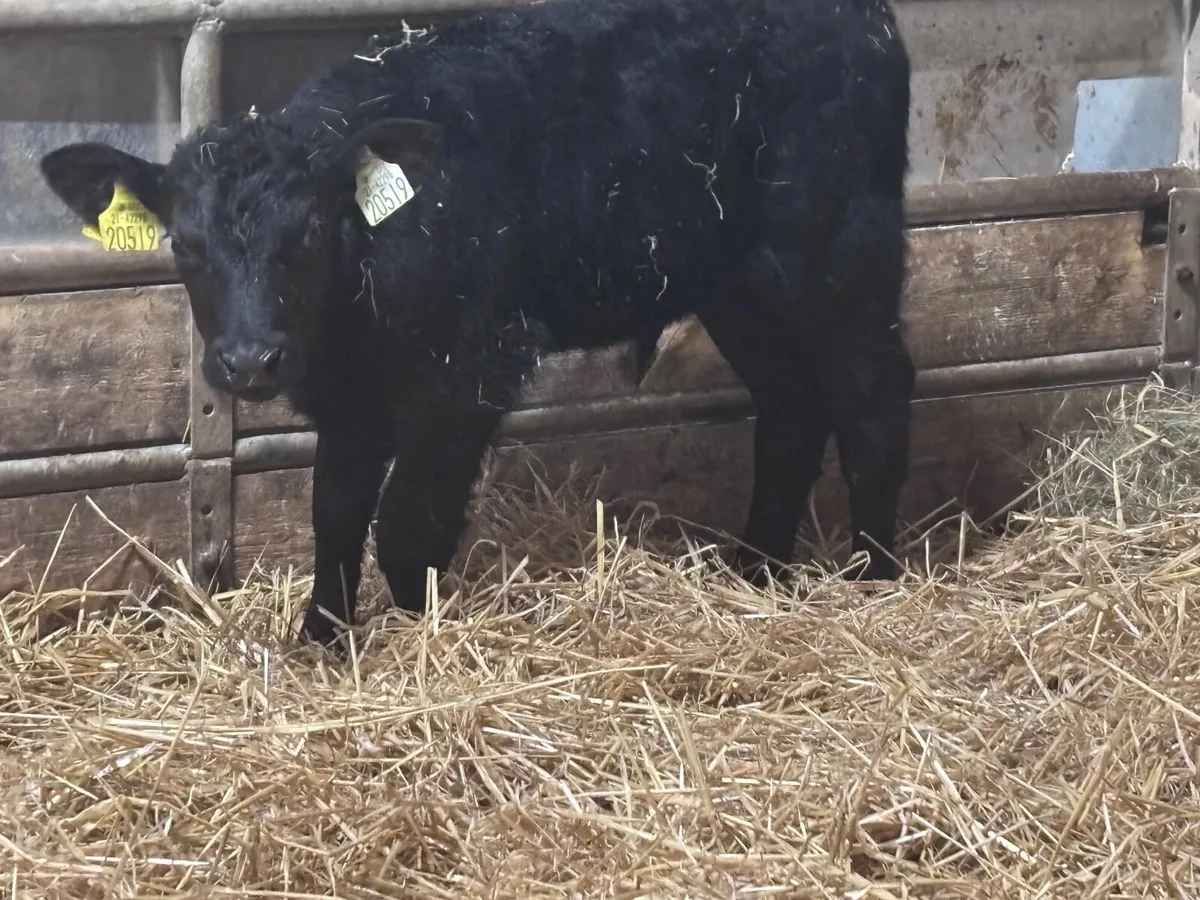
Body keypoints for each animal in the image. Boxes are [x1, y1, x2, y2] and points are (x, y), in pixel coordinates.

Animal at [39, 0, 916, 651]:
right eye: (185, 245)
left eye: (312, 233)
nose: (252, 361)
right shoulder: (353, 397)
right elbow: (335, 510)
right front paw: (322, 638)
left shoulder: (467, 372)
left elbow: (406, 523)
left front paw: (422, 634)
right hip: (739, 283)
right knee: (793, 408)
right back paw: (756, 569)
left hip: (838, 251)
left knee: (874, 397)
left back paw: (875, 578)